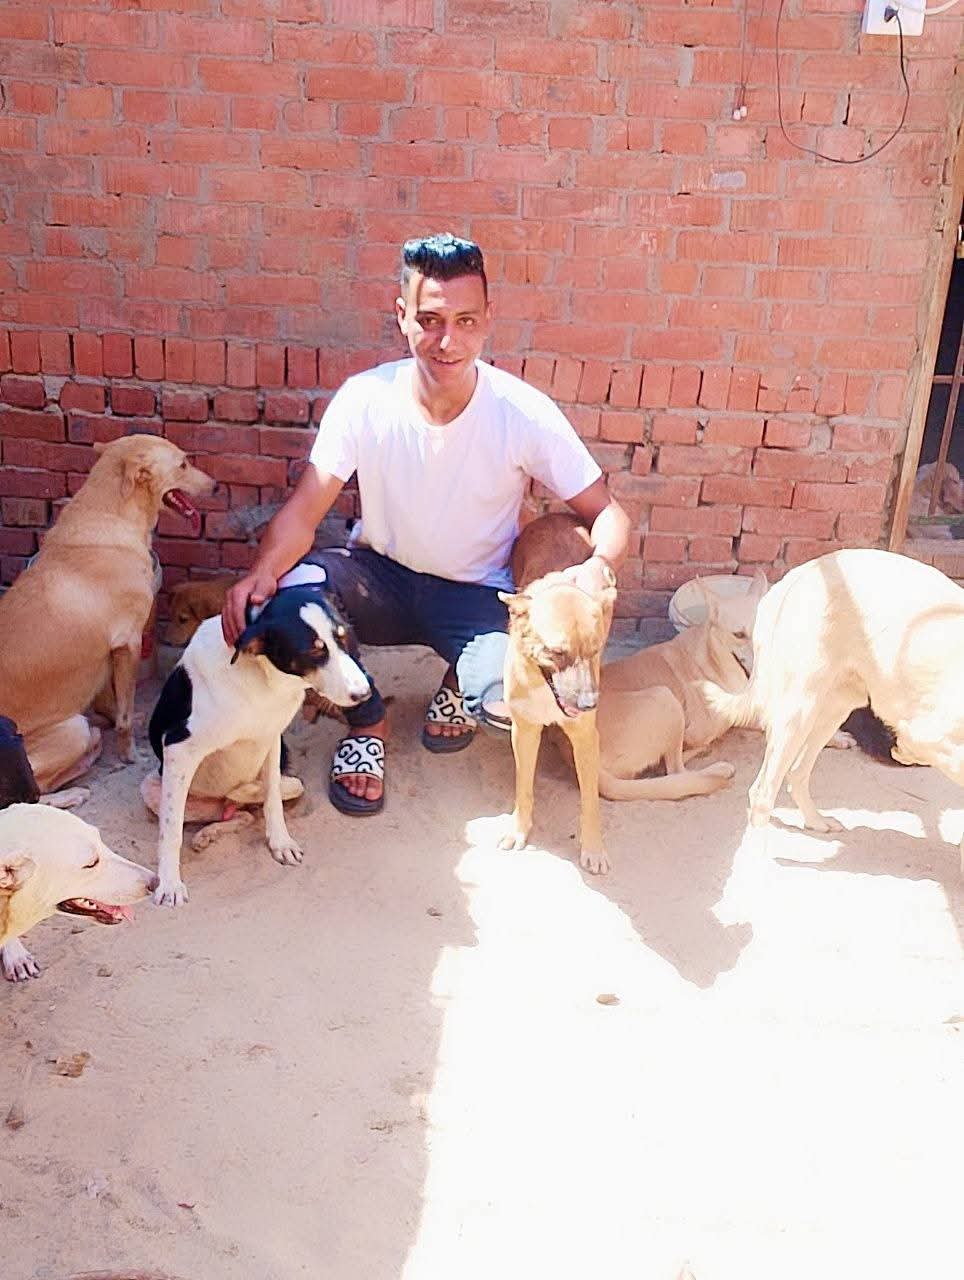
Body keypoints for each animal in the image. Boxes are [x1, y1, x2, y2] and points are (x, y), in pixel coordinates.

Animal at [0, 435, 214, 794]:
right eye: (183, 464)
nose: (216, 485)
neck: (114, 514)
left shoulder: (107, 654)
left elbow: (114, 707)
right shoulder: (127, 643)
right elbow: (124, 716)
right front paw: (130, 756)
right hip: (71, 729)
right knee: (36, 789)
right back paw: (76, 789)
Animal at [143, 574, 372, 906]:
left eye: (343, 638)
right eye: (314, 651)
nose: (364, 694)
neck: (264, 680)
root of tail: (222, 803)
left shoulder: (272, 738)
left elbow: (272, 799)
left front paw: (280, 842)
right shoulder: (178, 748)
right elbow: (170, 831)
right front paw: (170, 883)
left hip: (288, 781)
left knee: (248, 811)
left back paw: (226, 813)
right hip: (155, 788)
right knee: (210, 814)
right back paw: (209, 828)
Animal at [704, 549, 964, 852]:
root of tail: (792, 579)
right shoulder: (929, 733)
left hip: (834, 707)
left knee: (796, 774)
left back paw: (816, 821)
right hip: (799, 712)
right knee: (762, 792)